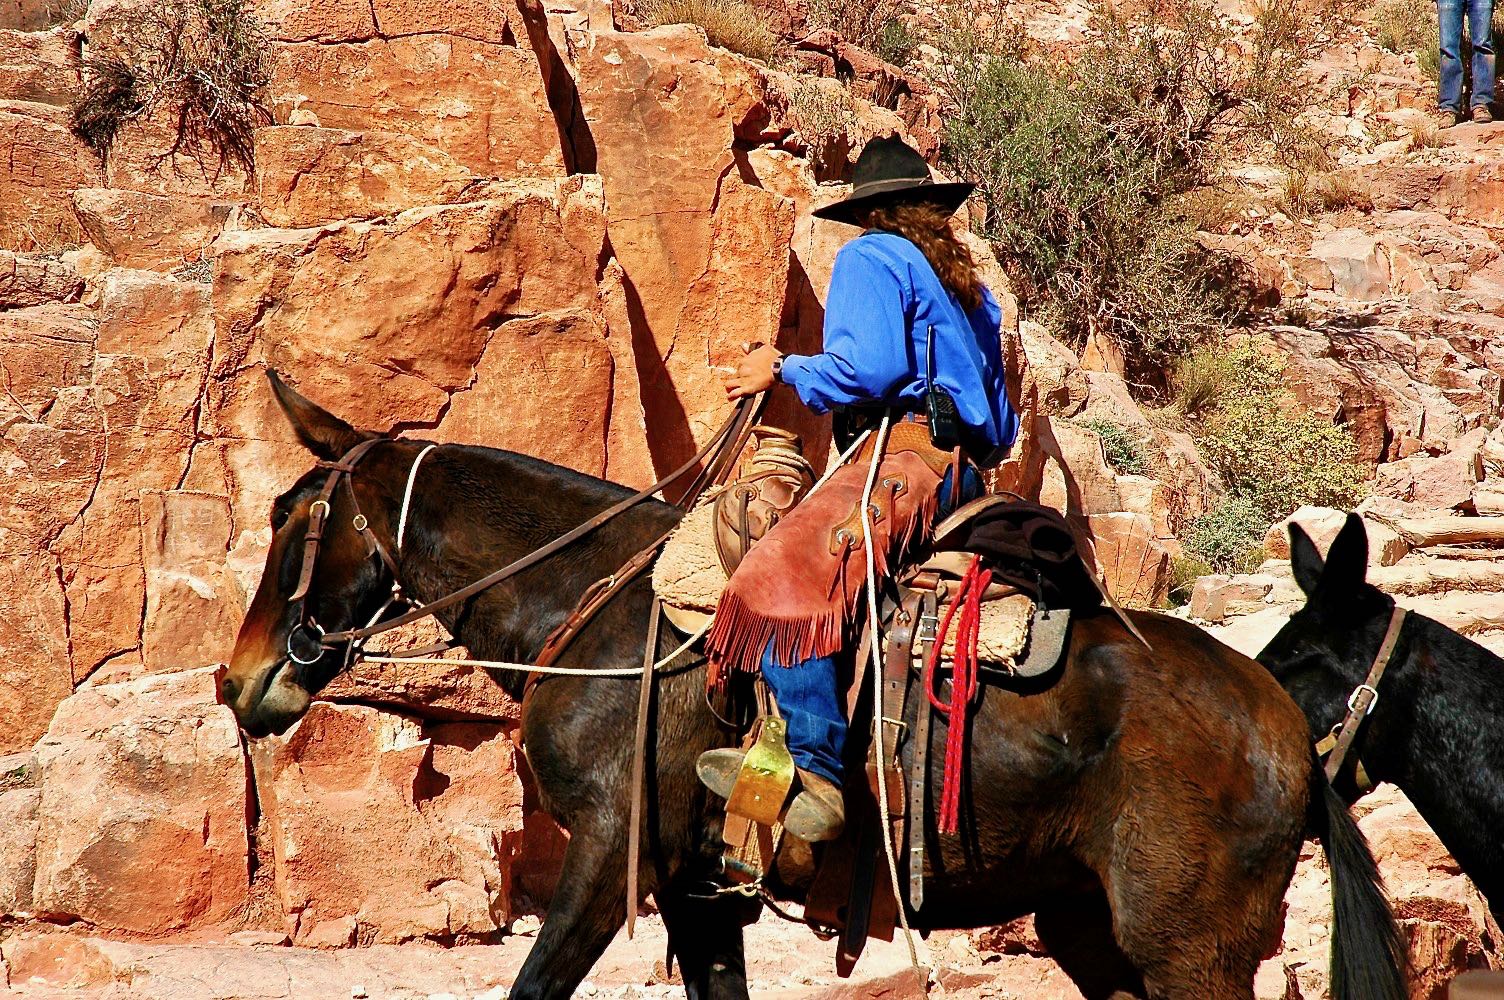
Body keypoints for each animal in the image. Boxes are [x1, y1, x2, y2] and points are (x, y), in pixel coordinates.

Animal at [222, 372, 1408, 1000]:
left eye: (293, 515)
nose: (239, 682)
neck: (595, 607)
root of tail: (1285, 729)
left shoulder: (609, 861)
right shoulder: (701, 893)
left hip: (1190, 950)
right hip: (1092, 927)